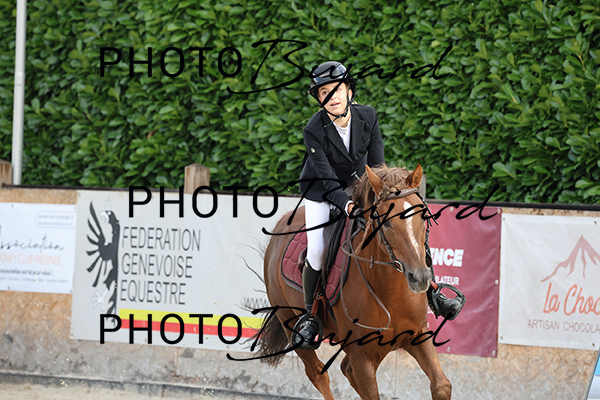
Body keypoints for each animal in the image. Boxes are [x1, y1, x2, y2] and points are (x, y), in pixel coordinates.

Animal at [255, 164, 452, 400]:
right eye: (386, 222)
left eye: (423, 217)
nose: (420, 277)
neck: (390, 292)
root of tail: (281, 227)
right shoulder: (362, 357)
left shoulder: (418, 335)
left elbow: (441, 385)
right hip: (291, 323)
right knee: (318, 373)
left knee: (344, 369)